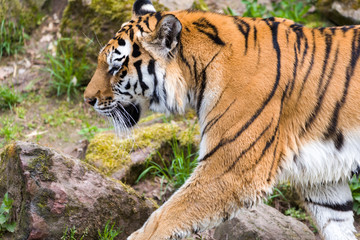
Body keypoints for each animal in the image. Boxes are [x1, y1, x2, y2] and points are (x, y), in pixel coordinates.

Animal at [83, 0, 360, 239]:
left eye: (116, 68)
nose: (87, 99)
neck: (197, 74)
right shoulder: (323, 177)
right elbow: (338, 225)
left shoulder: (230, 169)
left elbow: (165, 217)